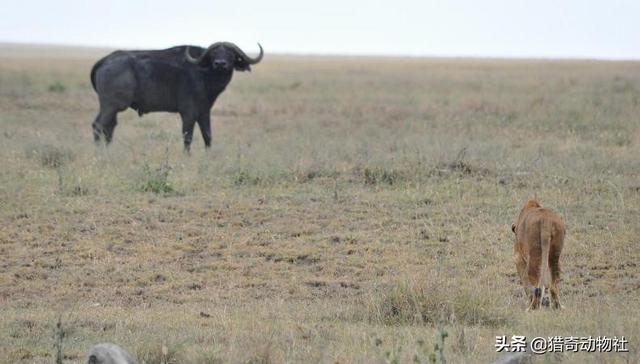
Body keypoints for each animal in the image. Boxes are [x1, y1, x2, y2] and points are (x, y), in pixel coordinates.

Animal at [90, 42, 262, 150]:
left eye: (230, 54)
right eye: (214, 54)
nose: (220, 63)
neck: (204, 73)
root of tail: (106, 60)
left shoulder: (204, 112)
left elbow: (208, 136)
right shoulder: (188, 113)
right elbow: (188, 137)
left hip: (111, 108)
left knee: (109, 127)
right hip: (111, 106)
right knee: (99, 125)